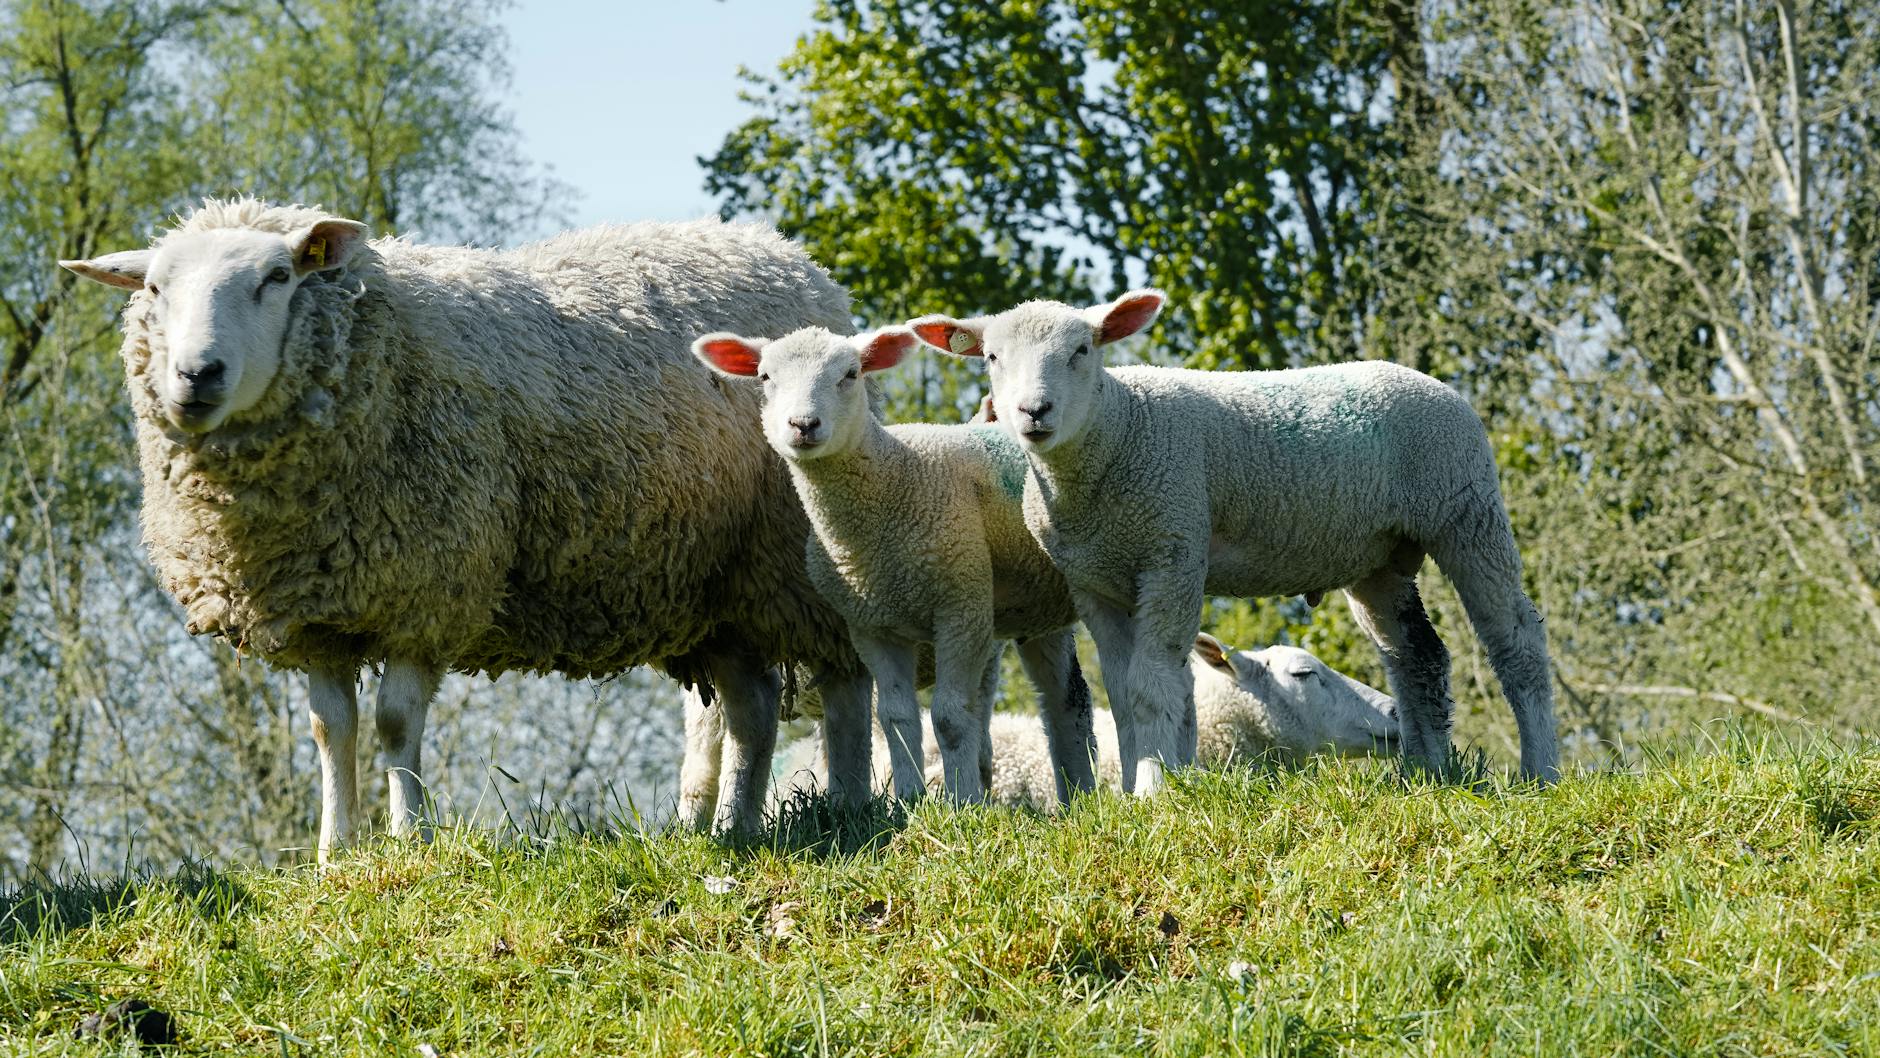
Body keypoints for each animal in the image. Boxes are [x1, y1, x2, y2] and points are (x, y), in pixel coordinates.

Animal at [60, 198, 878, 860]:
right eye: (156, 288)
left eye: (277, 277)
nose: (196, 375)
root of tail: (779, 251)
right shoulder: (319, 608)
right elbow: (331, 729)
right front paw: (333, 854)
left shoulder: (429, 585)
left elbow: (394, 723)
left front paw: (409, 841)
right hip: (713, 588)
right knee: (752, 708)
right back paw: (729, 829)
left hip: (791, 556)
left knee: (845, 680)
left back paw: (847, 811)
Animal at [692, 326, 1098, 805]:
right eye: (766, 377)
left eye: (850, 374)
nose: (803, 425)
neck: (894, 477)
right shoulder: (872, 626)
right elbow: (897, 718)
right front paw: (909, 799)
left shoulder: (961, 607)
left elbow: (949, 717)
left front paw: (962, 802)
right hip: (1034, 603)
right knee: (1060, 698)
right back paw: (1077, 794)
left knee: (1071, 696)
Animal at [909, 290, 1560, 791]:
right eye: (992, 357)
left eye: (1082, 350)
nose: (1032, 412)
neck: (1118, 429)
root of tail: (1432, 383)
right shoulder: (1096, 582)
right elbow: (1122, 694)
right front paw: (1130, 792)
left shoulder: (1172, 552)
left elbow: (1153, 685)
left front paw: (1153, 791)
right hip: (1379, 558)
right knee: (1417, 657)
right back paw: (1426, 774)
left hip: (1466, 510)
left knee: (1517, 642)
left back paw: (1541, 772)